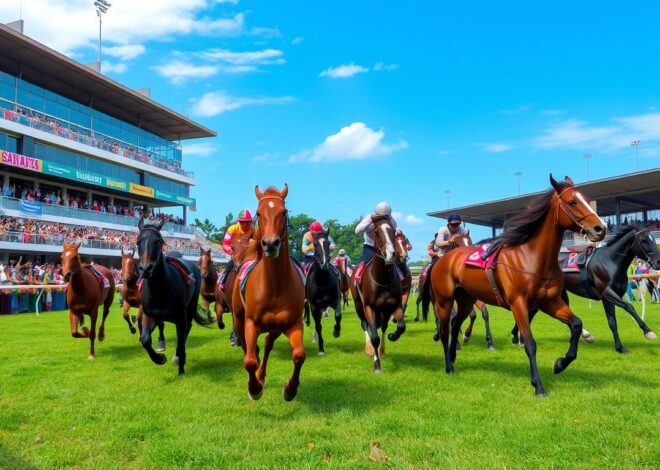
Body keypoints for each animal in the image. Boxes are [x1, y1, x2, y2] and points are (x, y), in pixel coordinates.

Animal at [136, 218, 214, 376]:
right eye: (138, 241)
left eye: (158, 241)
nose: (145, 269)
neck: (160, 288)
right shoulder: (149, 314)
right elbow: (145, 339)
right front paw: (160, 358)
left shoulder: (180, 318)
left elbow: (181, 339)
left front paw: (180, 367)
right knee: (162, 326)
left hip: (191, 306)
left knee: (186, 330)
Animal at [231, 185, 306, 402]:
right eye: (258, 213)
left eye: (284, 212)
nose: (270, 243)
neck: (275, 286)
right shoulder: (250, 323)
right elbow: (249, 360)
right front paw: (254, 389)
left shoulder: (292, 323)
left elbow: (299, 354)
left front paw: (290, 389)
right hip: (238, 319)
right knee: (249, 348)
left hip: (275, 327)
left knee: (266, 344)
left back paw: (262, 375)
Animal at [348, 217, 404, 374]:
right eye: (376, 232)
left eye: (393, 230)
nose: (391, 254)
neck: (383, 279)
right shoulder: (369, 308)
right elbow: (374, 336)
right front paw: (377, 364)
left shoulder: (394, 305)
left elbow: (400, 327)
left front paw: (392, 336)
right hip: (358, 305)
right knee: (364, 324)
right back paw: (369, 349)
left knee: (383, 326)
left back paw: (382, 350)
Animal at [430, 176, 604, 396]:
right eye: (572, 202)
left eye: (587, 199)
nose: (601, 228)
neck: (532, 258)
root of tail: (444, 260)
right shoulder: (518, 303)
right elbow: (529, 343)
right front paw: (538, 386)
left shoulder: (549, 302)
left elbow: (576, 324)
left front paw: (560, 363)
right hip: (445, 300)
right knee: (445, 330)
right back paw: (449, 366)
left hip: (466, 299)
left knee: (454, 324)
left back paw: (453, 357)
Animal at [516, 226, 660, 354]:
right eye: (644, 240)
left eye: (653, 239)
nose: (658, 262)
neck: (610, 261)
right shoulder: (607, 293)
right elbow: (629, 307)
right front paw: (648, 332)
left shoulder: (609, 298)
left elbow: (612, 321)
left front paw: (619, 347)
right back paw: (520, 339)